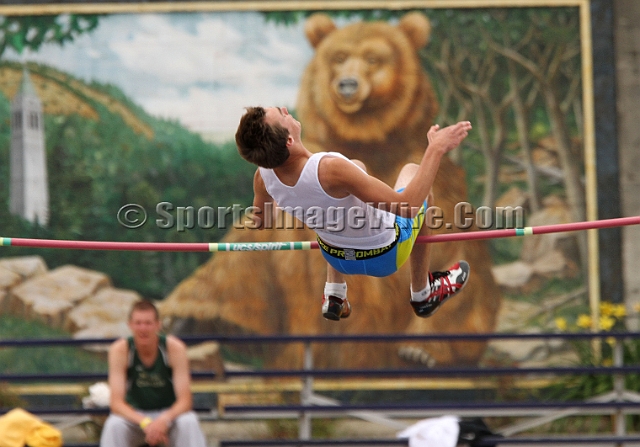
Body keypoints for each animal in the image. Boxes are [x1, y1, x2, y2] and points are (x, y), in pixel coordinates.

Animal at [160, 12, 500, 370]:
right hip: (394, 246)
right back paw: (426, 297)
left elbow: (263, 219)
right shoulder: (340, 166)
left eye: (373, 58)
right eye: (339, 57)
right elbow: (405, 202)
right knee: (418, 215)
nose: (347, 84)